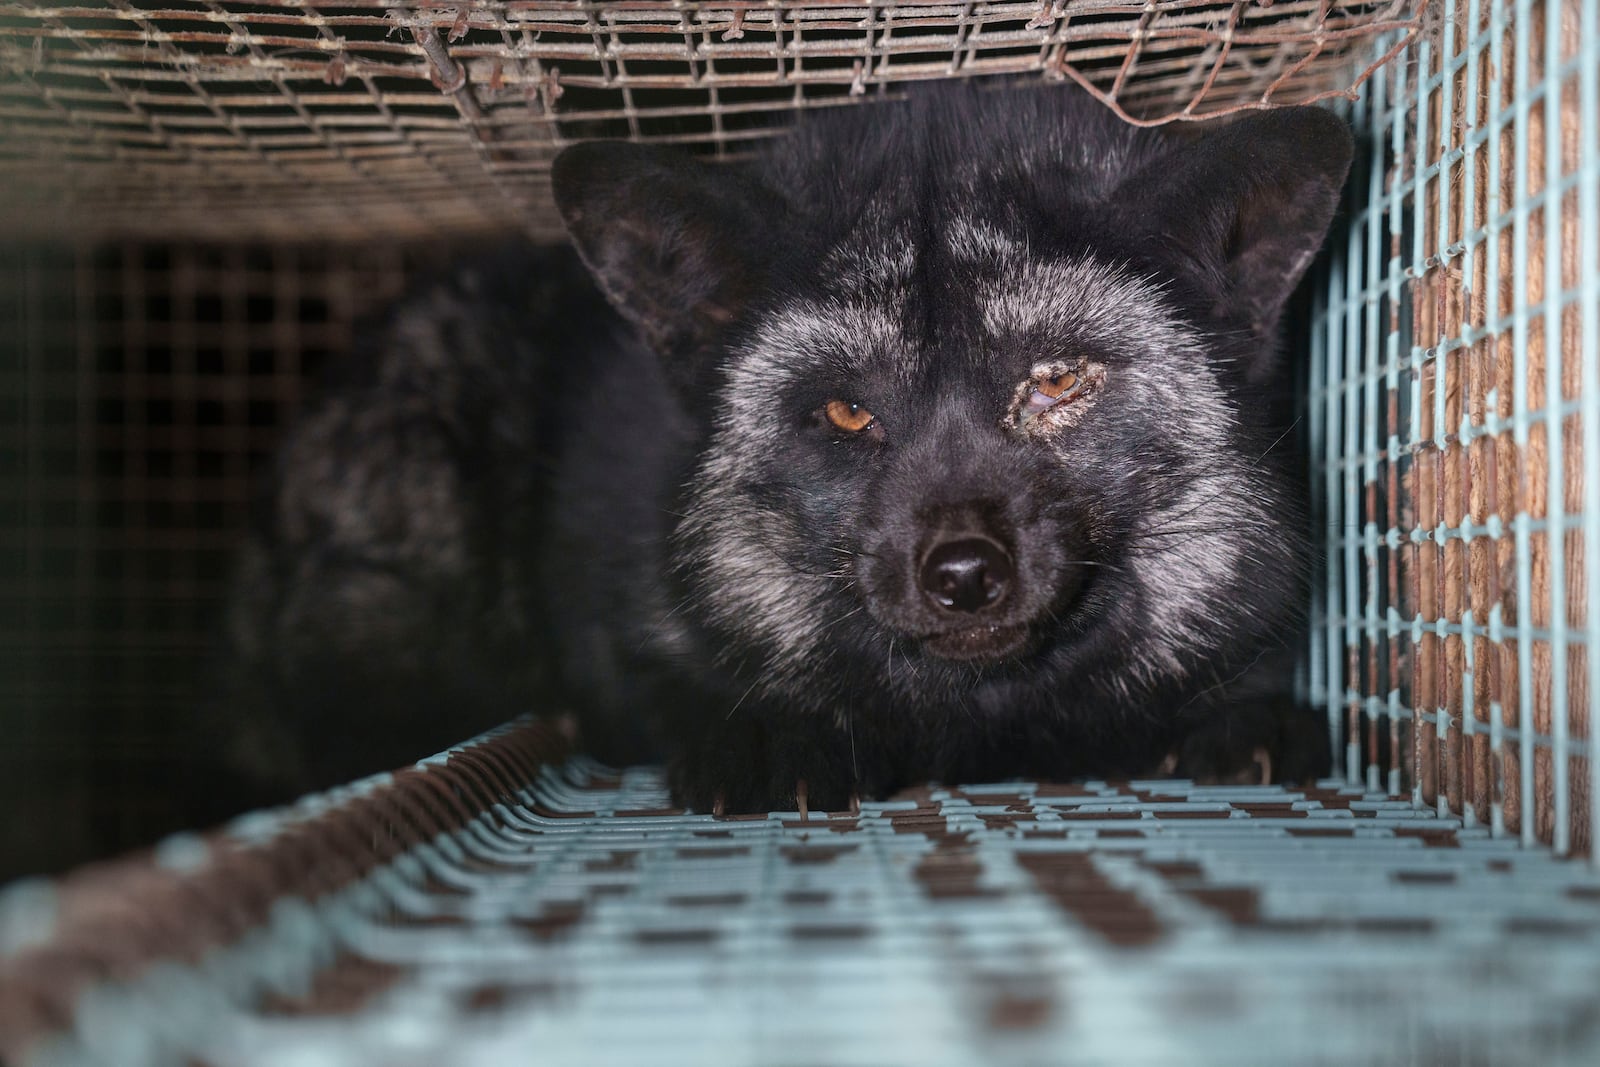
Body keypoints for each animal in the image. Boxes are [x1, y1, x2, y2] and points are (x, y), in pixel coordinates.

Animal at [209, 85, 1350, 819]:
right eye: (845, 412)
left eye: (1057, 379)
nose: (963, 572)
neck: (982, 727)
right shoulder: (622, 625)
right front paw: (770, 736)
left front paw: (1242, 722)